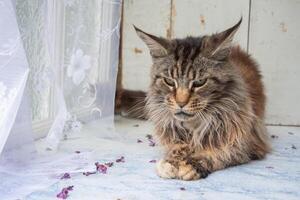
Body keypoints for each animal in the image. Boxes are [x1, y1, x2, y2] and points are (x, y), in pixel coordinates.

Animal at [118, 18, 270, 180]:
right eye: (169, 81)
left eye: (200, 82)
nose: (181, 103)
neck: (193, 125)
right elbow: (177, 147)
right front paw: (171, 161)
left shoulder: (249, 143)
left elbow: (220, 153)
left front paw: (193, 164)